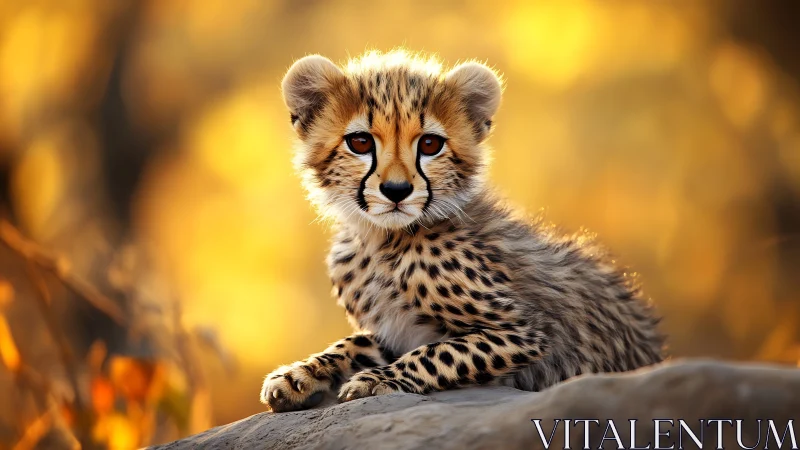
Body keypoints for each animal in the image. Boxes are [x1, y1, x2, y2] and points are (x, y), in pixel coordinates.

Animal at [259, 49, 665, 412]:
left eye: (429, 144)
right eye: (360, 142)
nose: (396, 190)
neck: (380, 241)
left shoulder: (527, 332)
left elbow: (439, 353)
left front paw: (378, 379)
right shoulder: (396, 330)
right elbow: (353, 342)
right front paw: (300, 375)